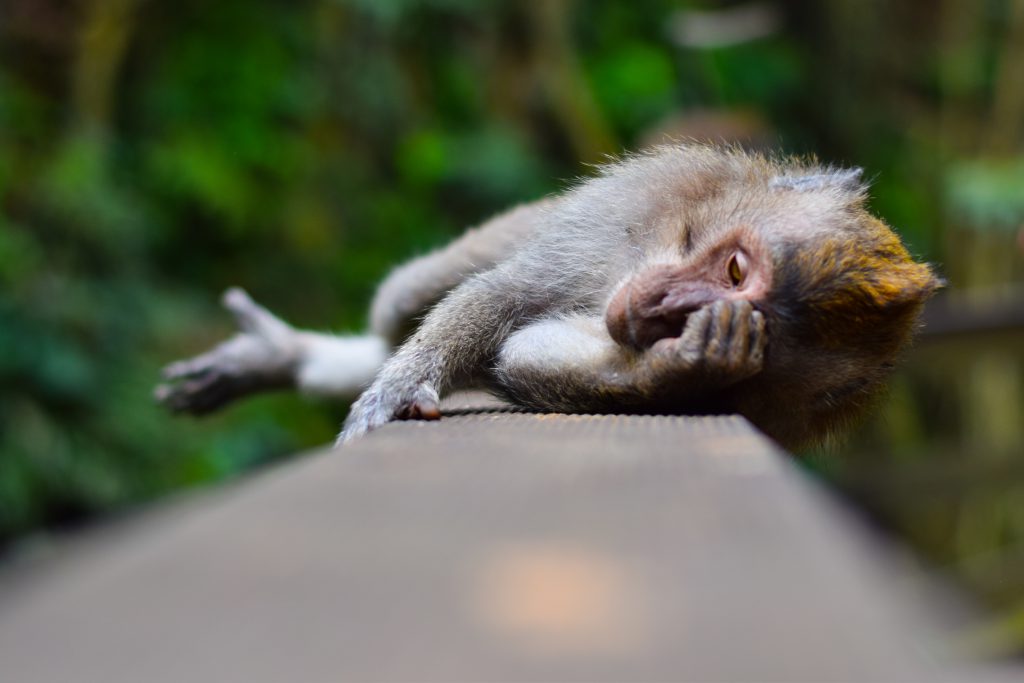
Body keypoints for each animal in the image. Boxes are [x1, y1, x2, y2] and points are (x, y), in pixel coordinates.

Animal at [153, 143, 942, 448]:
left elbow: (527, 356)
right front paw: (394, 393)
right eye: (737, 269)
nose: (661, 308)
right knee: (407, 299)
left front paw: (691, 364)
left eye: (759, 328)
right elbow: (506, 300)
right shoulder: (624, 216)